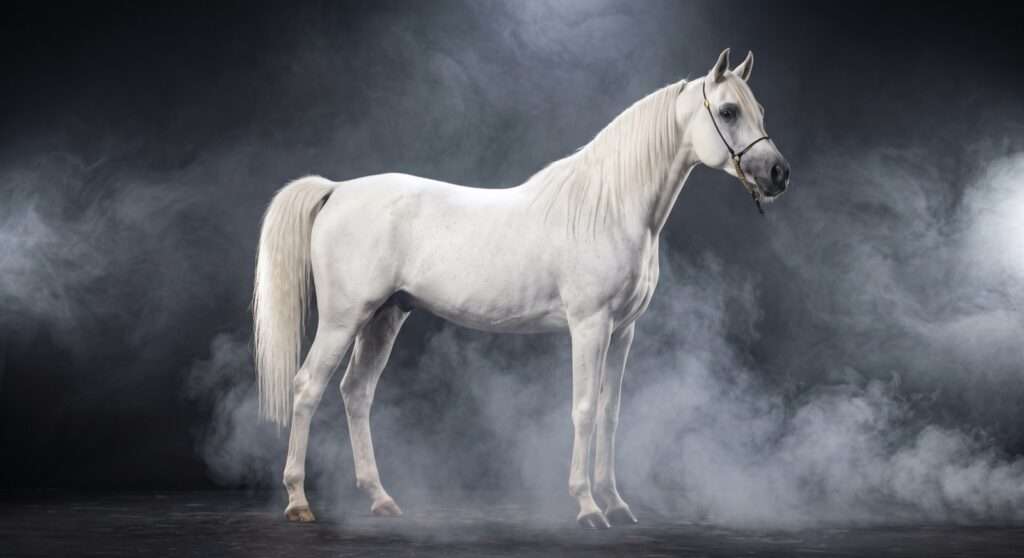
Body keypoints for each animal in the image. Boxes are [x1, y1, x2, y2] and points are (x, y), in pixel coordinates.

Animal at [252, 48, 790, 529]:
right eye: (728, 111)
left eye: (760, 110)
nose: (778, 173)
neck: (609, 207)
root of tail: (337, 189)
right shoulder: (589, 325)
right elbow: (584, 410)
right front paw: (588, 507)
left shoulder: (623, 331)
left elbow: (612, 414)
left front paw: (616, 504)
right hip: (344, 319)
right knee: (307, 388)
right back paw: (298, 501)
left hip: (386, 316)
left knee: (357, 393)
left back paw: (380, 499)